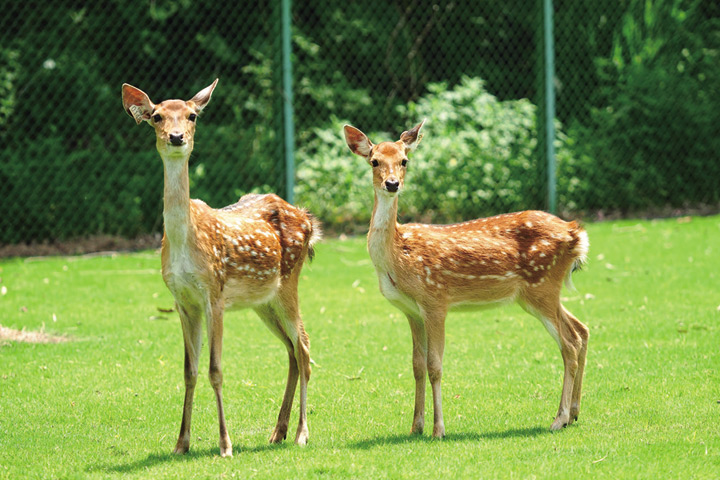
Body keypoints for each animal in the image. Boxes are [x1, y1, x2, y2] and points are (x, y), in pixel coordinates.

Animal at [122, 79, 320, 458]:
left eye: (192, 115)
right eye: (156, 116)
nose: (176, 137)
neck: (185, 243)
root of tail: (308, 219)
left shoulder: (214, 294)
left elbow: (215, 370)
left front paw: (225, 445)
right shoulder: (183, 301)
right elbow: (189, 370)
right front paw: (181, 443)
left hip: (289, 282)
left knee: (303, 347)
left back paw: (302, 433)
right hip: (263, 302)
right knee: (290, 349)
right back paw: (278, 432)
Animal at [344, 121, 592, 438]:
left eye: (404, 160)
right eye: (374, 161)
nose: (392, 183)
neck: (398, 257)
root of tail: (576, 234)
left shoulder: (435, 300)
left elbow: (435, 366)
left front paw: (438, 429)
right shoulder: (411, 311)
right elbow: (417, 365)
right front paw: (415, 426)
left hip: (542, 286)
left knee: (569, 343)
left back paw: (558, 419)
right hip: (538, 293)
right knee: (581, 330)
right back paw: (574, 413)